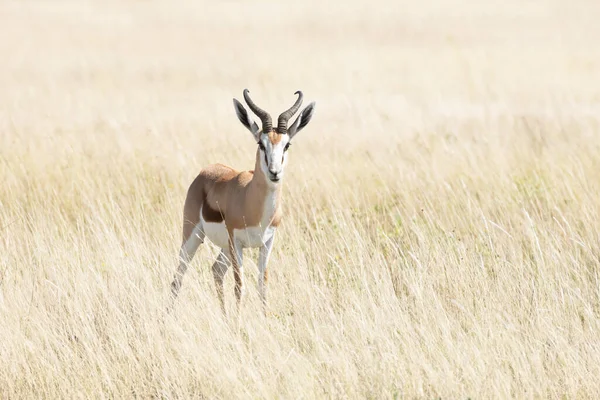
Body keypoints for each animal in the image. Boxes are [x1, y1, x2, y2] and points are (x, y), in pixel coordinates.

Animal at [169, 89, 314, 314]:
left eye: (287, 144)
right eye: (261, 143)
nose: (274, 172)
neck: (253, 205)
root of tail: (206, 171)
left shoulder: (267, 243)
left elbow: (262, 286)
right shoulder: (237, 242)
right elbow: (239, 287)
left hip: (225, 248)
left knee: (216, 270)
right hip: (193, 236)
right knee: (178, 278)